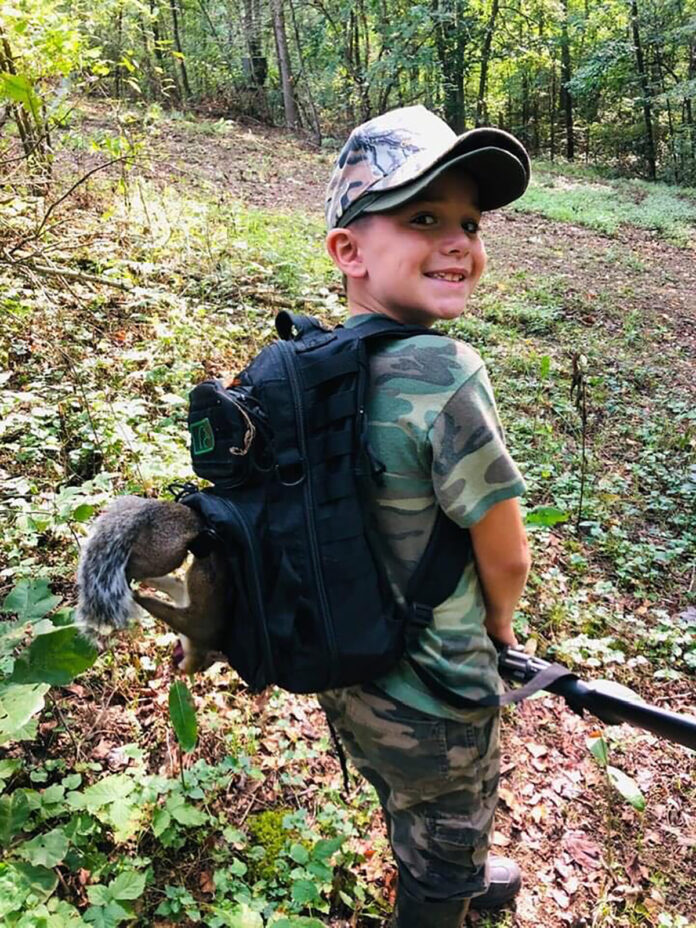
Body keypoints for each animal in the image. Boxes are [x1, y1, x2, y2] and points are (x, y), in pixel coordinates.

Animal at [76, 496, 228, 673]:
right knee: (131, 566)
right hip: (168, 552)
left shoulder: (181, 594)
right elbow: (167, 612)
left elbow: (171, 584)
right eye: (201, 667)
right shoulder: (193, 623)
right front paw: (138, 596)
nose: (178, 669)